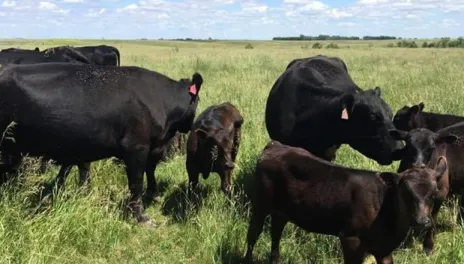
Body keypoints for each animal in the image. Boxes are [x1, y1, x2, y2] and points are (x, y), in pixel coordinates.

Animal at [0, 62, 204, 225]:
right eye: (198, 101)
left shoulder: (153, 146)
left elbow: (150, 170)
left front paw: (153, 194)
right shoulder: (136, 147)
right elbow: (136, 183)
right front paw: (140, 217)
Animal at [245, 139, 448, 262]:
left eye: (434, 194)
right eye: (404, 192)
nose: (421, 221)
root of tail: (276, 145)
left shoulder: (384, 250)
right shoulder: (350, 238)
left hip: (282, 210)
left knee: (276, 232)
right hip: (260, 205)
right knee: (253, 234)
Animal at [390, 122, 462, 255]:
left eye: (432, 148)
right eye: (408, 146)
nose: (418, 165)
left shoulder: (440, 195)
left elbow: (432, 220)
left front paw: (428, 246)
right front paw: (402, 243)